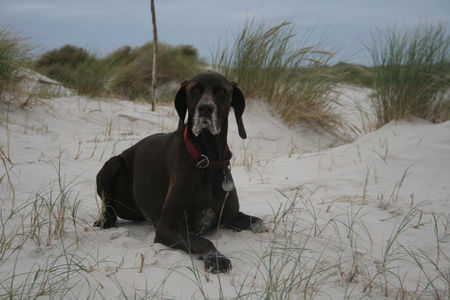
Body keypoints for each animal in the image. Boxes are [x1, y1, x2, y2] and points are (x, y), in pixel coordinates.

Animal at [95, 71, 264, 274]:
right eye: (194, 90)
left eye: (222, 91)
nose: (205, 108)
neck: (208, 159)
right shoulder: (167, 227)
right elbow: (202, 240)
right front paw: (217, 258)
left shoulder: (231, 214)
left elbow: (259, 222)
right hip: (112, 164)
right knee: (109, 208)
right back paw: (105, 221)